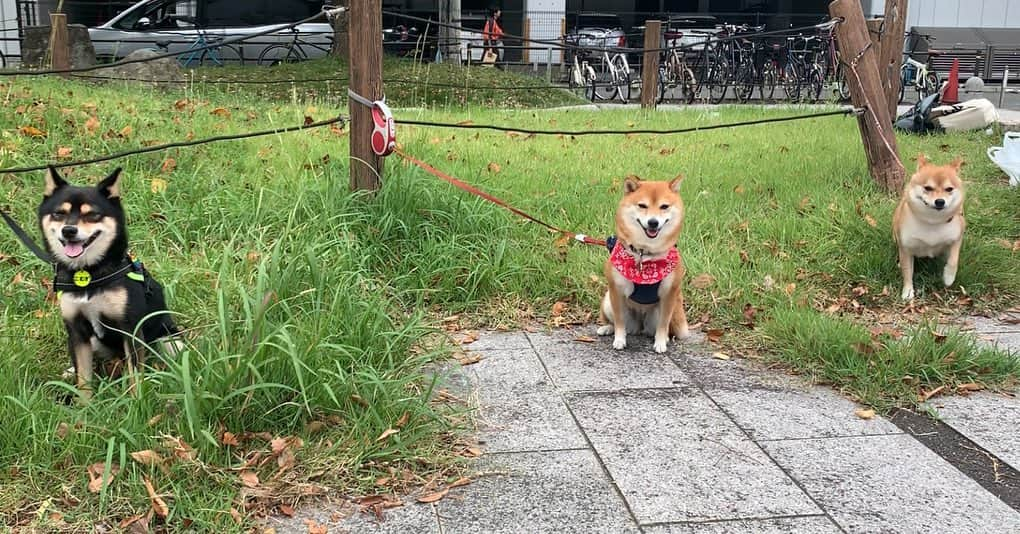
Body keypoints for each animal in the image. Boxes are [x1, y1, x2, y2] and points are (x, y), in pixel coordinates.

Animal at [39, 166, 179, 395]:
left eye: (92, 214)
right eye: (59, 213)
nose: (68, 230)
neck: (87, 275)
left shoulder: (130, 328)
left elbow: (134, 377)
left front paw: (137, 400)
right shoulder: (77, 331)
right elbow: (83, 379)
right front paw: (84, 404)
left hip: (169, 339)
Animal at [595, 175, 689, 352]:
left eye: (664, 206)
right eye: (642, 205)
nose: (653, 222)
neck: (644, 254)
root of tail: (639, 325)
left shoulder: (669, 293)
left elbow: (663, 324)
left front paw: (660, 342)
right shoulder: (616, 290)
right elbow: (619, 321)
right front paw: (619, 340)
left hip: (661, 314)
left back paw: (665, 338)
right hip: (608, 302)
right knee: (617, 323)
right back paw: (607, 328)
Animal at [893, 153, 962, 299]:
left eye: (949, 189)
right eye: (928, 188)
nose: (940, 201)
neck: (932, 221)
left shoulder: (957, 238)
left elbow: (954, 260)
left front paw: (948, 277)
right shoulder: (906, 249)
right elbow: (907, 271)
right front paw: (908, 290)